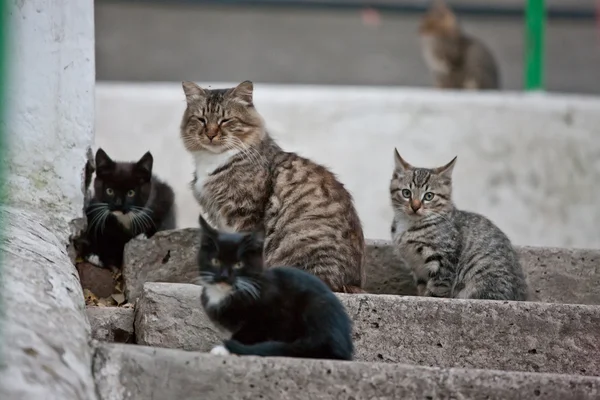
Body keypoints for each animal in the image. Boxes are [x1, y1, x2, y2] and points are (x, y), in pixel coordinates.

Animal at [179, 80, 366, 294]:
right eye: (201, 119)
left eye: (225, 120)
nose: (210, 134)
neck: (212, 160)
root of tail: (351, 283)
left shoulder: (245, 212)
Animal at [197, 217, 356, 360]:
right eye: (215, 261)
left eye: (238, 264)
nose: (224, 276)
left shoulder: (272, 314)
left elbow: (249, 332)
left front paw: (225, 348)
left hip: (316, 307)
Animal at [390, 150, 524, 300]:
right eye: (406, 193)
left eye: (429, 196)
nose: (415, 207)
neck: (408, 226)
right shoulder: (418, 270)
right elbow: (422, 289)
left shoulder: (444, 262)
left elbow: (436, 291)